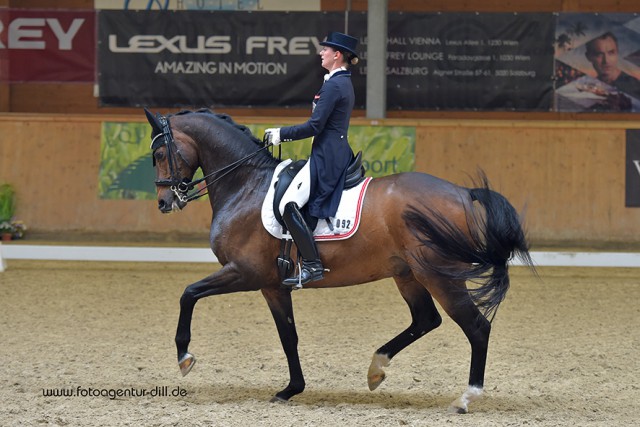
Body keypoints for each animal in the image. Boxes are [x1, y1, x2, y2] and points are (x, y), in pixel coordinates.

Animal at [146, 108, 536, 412]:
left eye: (160, 154)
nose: (165, 202)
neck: (246, 186)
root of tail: (463, 194)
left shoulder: (245, 273)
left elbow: (189, 293)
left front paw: (184, 358)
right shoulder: (273, 285)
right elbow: (288, 335)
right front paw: (291, 390)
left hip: (440, 276)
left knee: (476, 327)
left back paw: (465, 398)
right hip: (408, 274)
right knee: (426, 319)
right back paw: (376, 369)